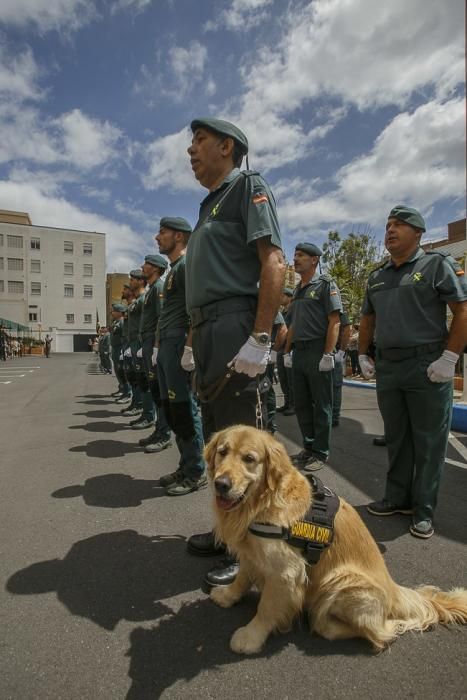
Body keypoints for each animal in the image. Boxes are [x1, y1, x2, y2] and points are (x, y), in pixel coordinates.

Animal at [206, 426, 467, 656]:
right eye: (222, 451)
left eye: (249, 458)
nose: (221, 484)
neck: (263, 501)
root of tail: (394, 591)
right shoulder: (252, 553)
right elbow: (242, 578)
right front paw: (228, 595)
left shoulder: (285, 571)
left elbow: (267, 608)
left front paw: (251, 636)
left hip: (340, 581)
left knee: (377, 632)